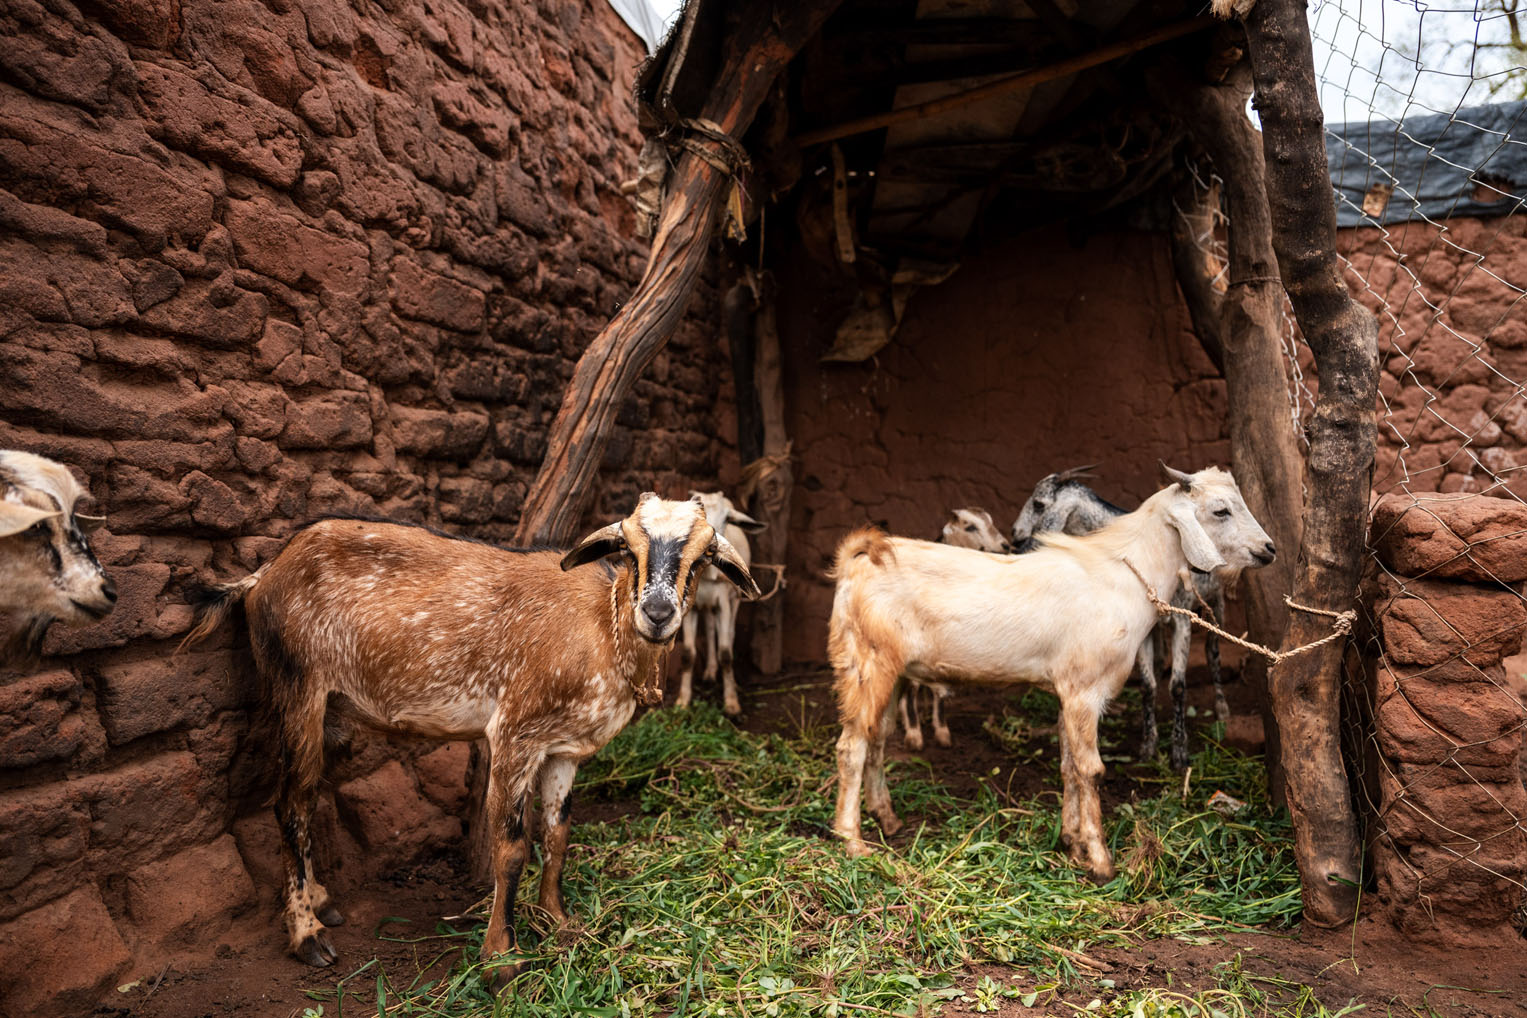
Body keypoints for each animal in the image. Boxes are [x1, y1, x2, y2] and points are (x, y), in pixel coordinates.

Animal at [677, 491, 763, 717]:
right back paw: (709, 671)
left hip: (735, 599)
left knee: (729, 632)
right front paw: (682, 701)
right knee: (709, 626)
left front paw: (732, 704)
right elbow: (688, 654)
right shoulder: (689, 605)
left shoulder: (724, 600)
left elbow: (725, 653)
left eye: (727, 519)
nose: (710, 545)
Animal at [1013, 467, 1239, 769]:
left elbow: (1179, 686)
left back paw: (1222, 708)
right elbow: (1147, 683)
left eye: (1038, 504)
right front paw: (1148, 744)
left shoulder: (1181, 620)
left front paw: (1179, 753)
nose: (1015, 537)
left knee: (1212, 651)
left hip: (1216, 604)